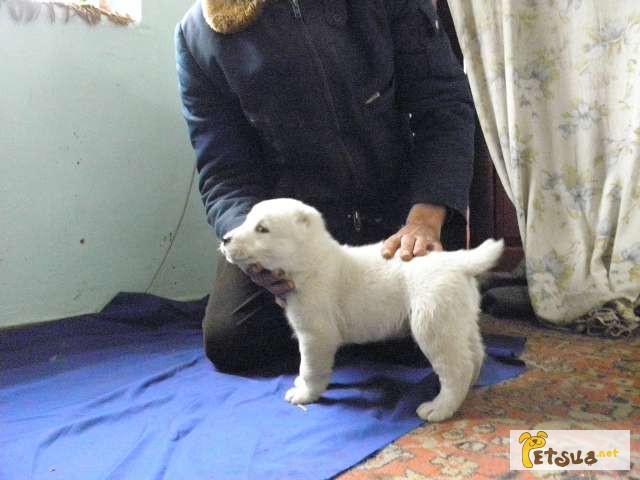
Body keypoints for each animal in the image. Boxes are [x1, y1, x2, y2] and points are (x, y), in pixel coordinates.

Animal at [220, 198, 504, 420]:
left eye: (262, 229)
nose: (224, 239)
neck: (311, 262)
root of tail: (458, 261)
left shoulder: (316, 335)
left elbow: (310, 368)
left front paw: (304, 394)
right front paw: (302, 385)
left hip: (432, 324)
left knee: (456, 368)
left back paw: (439, 408)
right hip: (458, 320)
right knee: (474, 355)